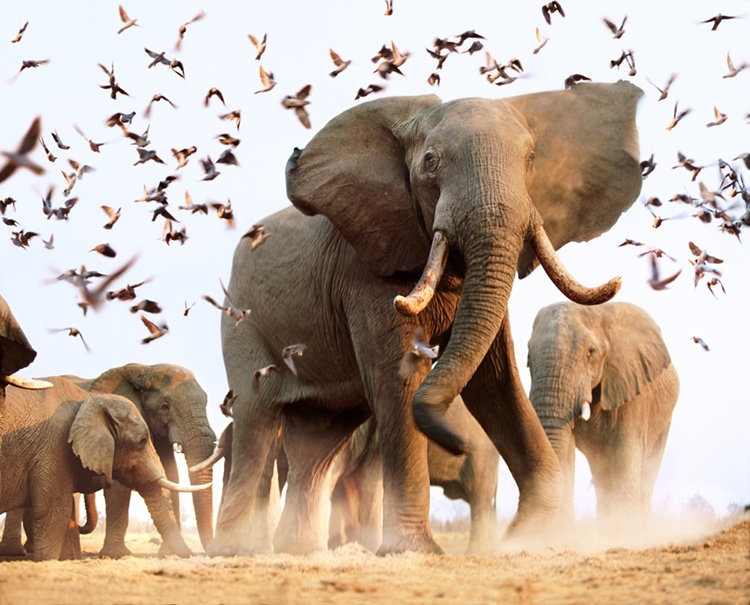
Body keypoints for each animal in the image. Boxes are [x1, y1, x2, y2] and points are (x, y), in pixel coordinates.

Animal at [0, 363, 216, 558]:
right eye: (165, 406)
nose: (201, 554)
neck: (145, 369)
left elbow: (171, 475)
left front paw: (167, 553)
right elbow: (121, 488)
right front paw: (117, 554)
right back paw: (16, 552)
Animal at [211, 81, 643, 556]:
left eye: (531, 159)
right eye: (431, 162)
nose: (456, 444)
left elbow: (494, 381)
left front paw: (530, 536)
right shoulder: (366, 270)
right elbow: (400, 379)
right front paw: (412, 551)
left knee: (317, 441)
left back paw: (300, 552)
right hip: (242, 320)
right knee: (257, 417)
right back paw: (234, 552)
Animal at [526, 301, 679, 533]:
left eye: (591, 353)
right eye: (528, 359)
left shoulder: (634, 386)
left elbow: (625, 451)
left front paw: (628, 534)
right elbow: (567, 450)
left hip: (664, 416)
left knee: (646, 470)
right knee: (602, 474)